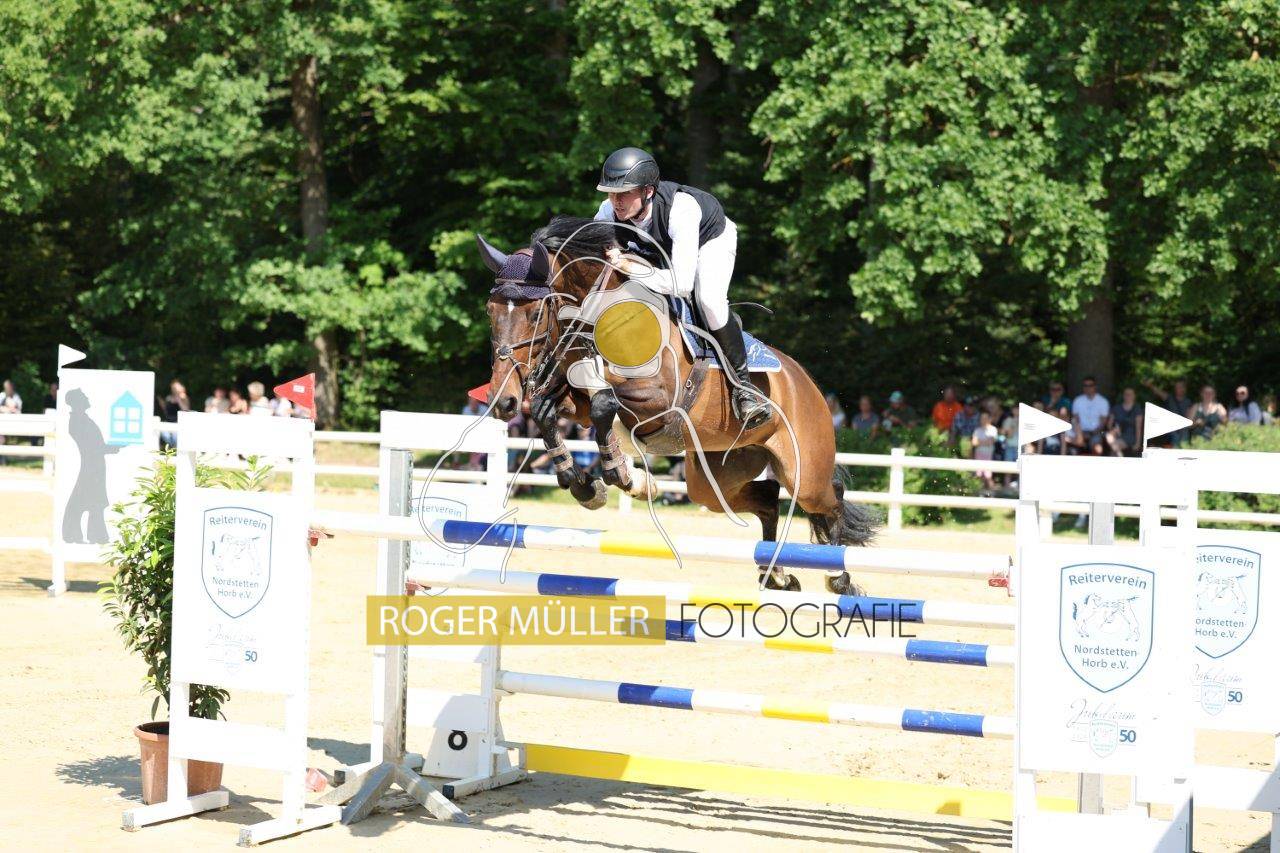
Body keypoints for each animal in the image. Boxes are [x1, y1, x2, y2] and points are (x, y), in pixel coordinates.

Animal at [477, 217, 876, 594]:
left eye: (535, 313)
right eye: (489, 311)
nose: (505, 401)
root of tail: (806, 383)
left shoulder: (660, 399)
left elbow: (606, 402)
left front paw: (622, 474)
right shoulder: (577, 399)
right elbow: (550, 410)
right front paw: (586, 485)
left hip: (802, 471)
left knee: (829, 499)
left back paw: (837, 577)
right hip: (716, 475)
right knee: (765, 498)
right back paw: (776, 575)